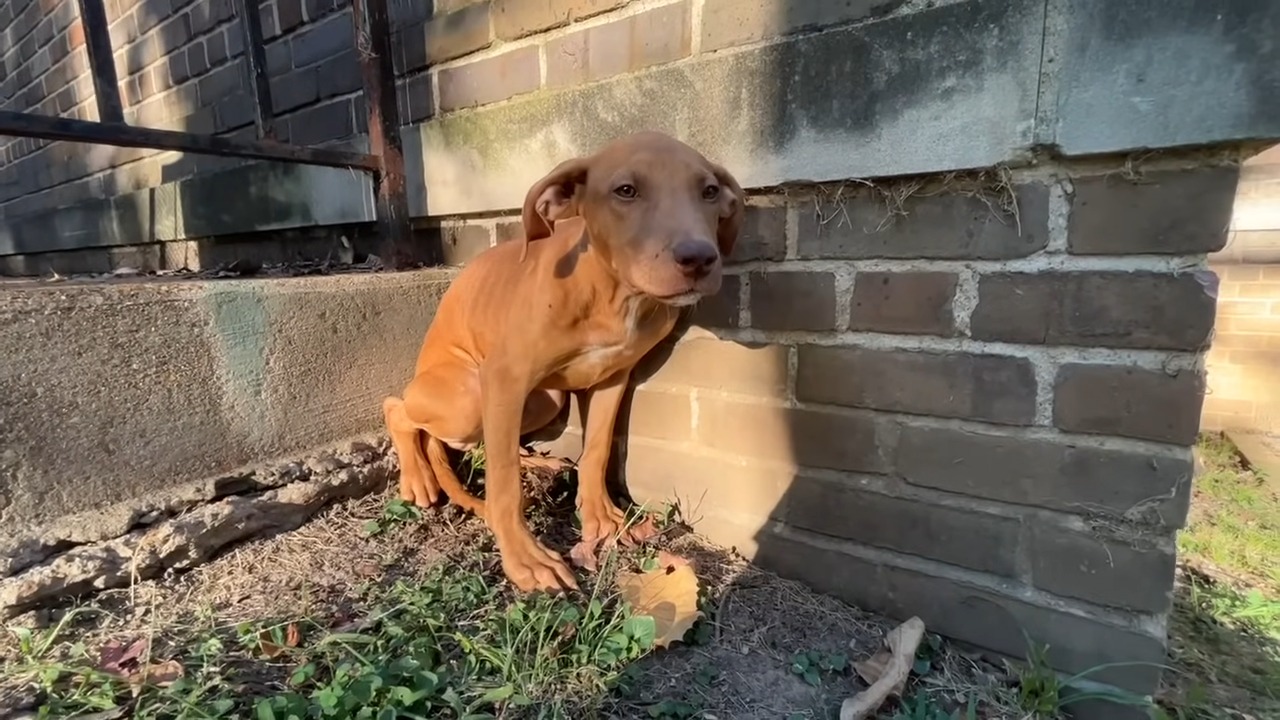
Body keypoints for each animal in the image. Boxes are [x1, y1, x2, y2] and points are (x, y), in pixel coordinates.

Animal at [381, 131, 742, 591]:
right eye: (626, 191)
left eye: (709, 191)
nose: (699, 258)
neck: (610, 291)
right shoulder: (505, 377)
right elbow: (503, 485)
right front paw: (525, 557)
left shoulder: (613, 377)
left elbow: (596, 450)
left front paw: (601, 517)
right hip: (469, 394)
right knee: (401, 411)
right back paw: (418, 476)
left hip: (544, 399)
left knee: (482, 442)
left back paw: (535, 459)